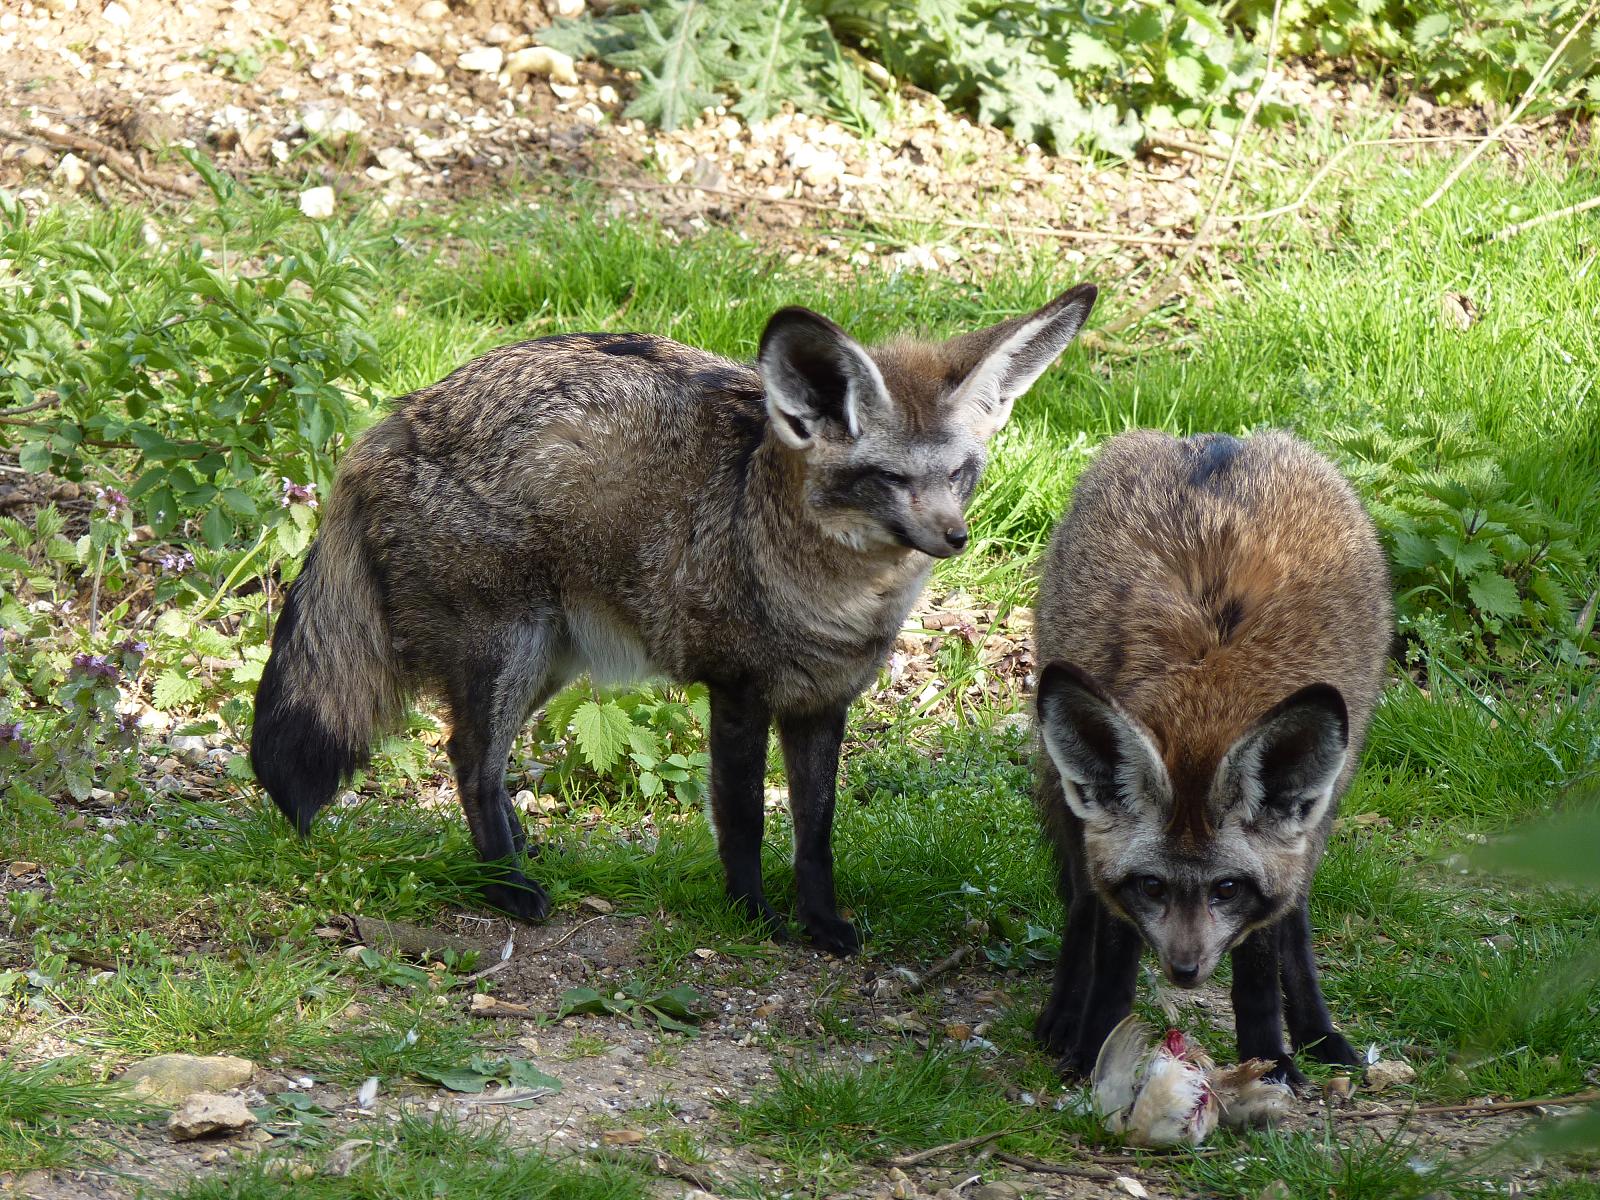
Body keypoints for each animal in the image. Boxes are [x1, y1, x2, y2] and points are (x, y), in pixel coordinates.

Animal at [250, 282, 1098, 954]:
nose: (955, 538)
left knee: (479, 761)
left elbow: (817, 834)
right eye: (889, 478)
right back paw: (506, 887)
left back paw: (518, 854)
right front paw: (754, 917)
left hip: (550, 665)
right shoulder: (738, 692)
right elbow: (746, 822)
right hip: (510, 655)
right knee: (469, 760)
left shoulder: (823, 704)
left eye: (960, 474)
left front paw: (821, 923)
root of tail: (395, 419)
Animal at [1030, 428, 1391, 1083]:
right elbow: (1110, 954)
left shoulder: (1276, 870)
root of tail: (1216, 440)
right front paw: (1095, 1047)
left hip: (1321, 810)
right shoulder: (1110, 872)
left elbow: (1260, 965)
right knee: (1082, 907)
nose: (1185, 971)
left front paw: (1268, 1061)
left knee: (1294, 919)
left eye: (1226, 889)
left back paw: (1318, 1031)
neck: (1208, 692)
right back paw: (1065, 1013)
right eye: (1152, 886)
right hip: (1063, 788)